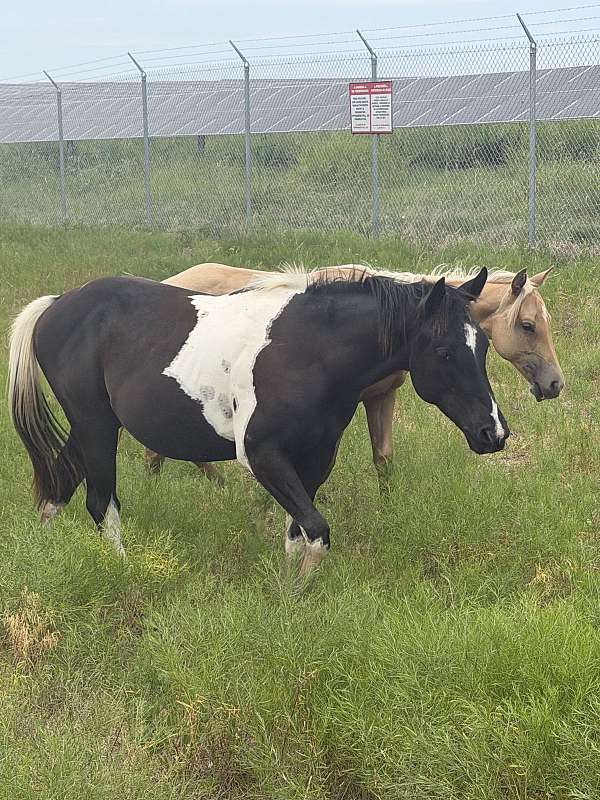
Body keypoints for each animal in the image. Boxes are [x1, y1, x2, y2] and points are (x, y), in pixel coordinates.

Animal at [8, 269, 508, 572]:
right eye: (444, 351)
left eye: (482, 346)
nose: (493, 433)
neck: (307, 351)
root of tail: (57, 305)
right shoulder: (263, 457)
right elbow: (317, 531)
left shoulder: (315, 459)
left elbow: (298, 533)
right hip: (95, 425)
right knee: (100, 504)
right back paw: (124, 570)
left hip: (91, 427)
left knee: (58, 485)